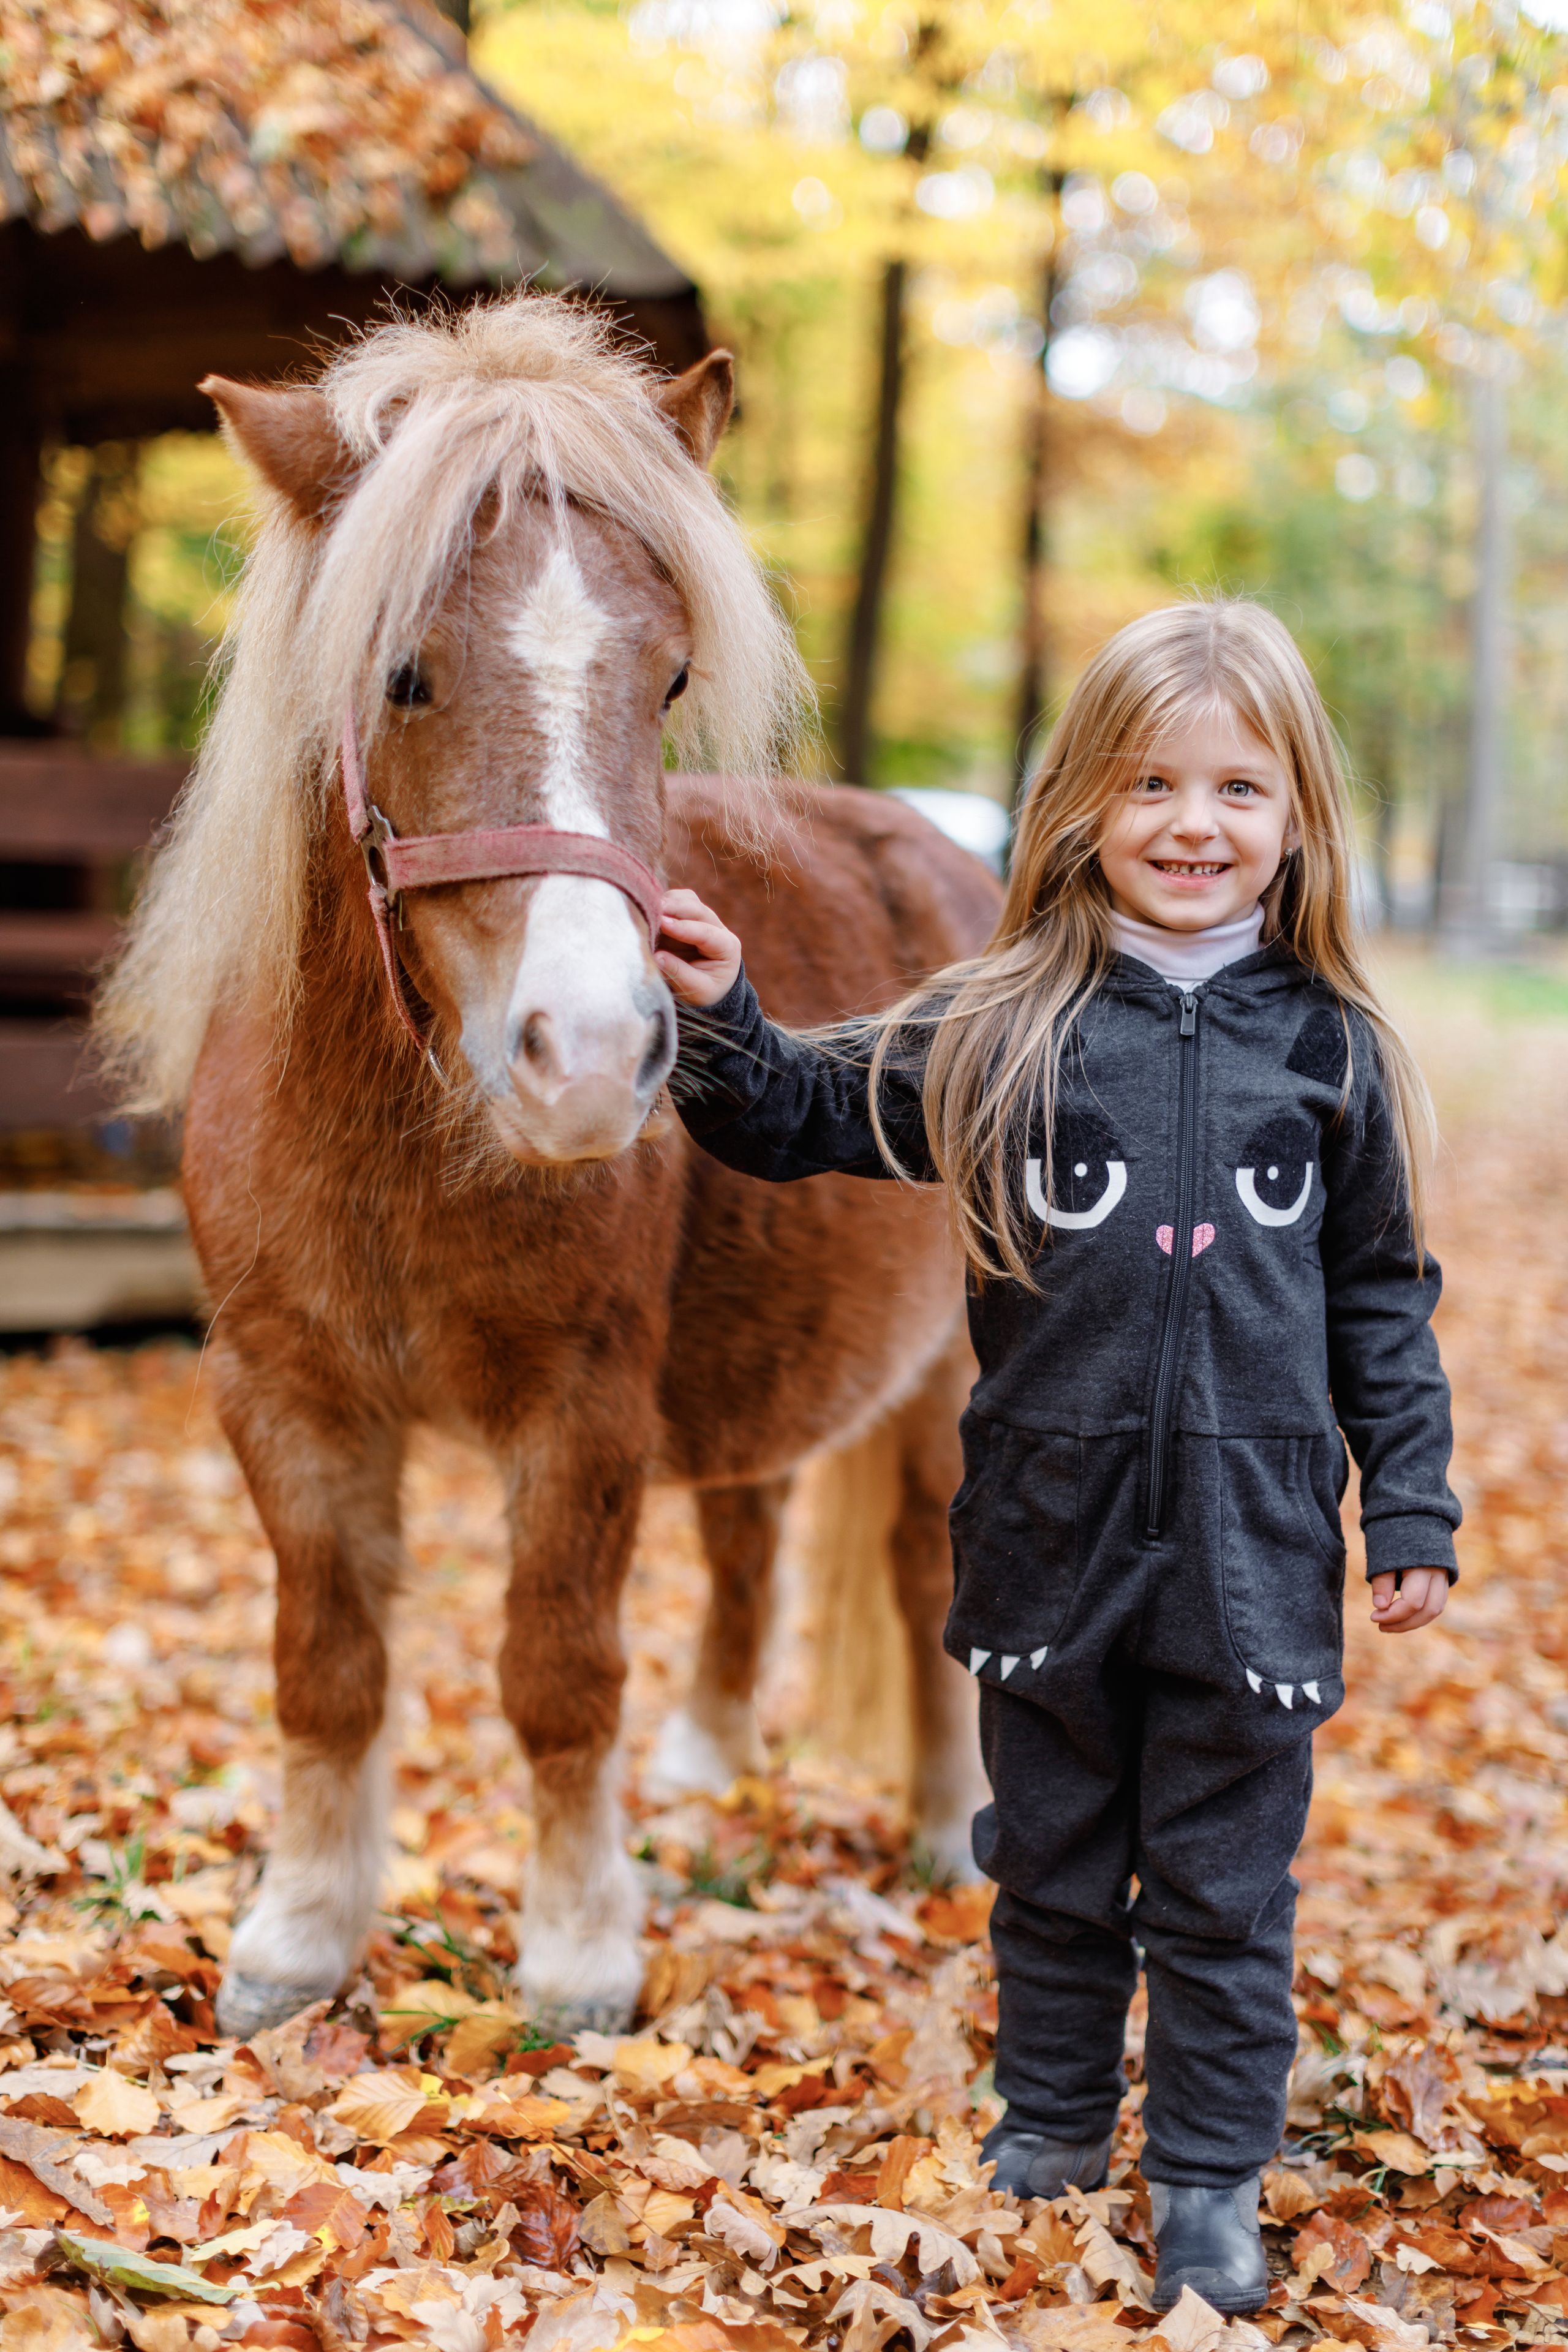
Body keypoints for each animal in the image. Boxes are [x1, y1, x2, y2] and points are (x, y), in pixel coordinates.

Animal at [97, 293, 1000, 2037]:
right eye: (402, 674)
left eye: (667, 681)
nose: (589, 1056)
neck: (390, 1132)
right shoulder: (283, 1392)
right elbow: (326, 1663)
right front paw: (299, 1935)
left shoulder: (581, 1408)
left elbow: (556, 1672)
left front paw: (579, 1951)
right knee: (750, 1534)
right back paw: (711, 1765)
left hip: (945, 1383)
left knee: (929, 1574)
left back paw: (947, 1832)